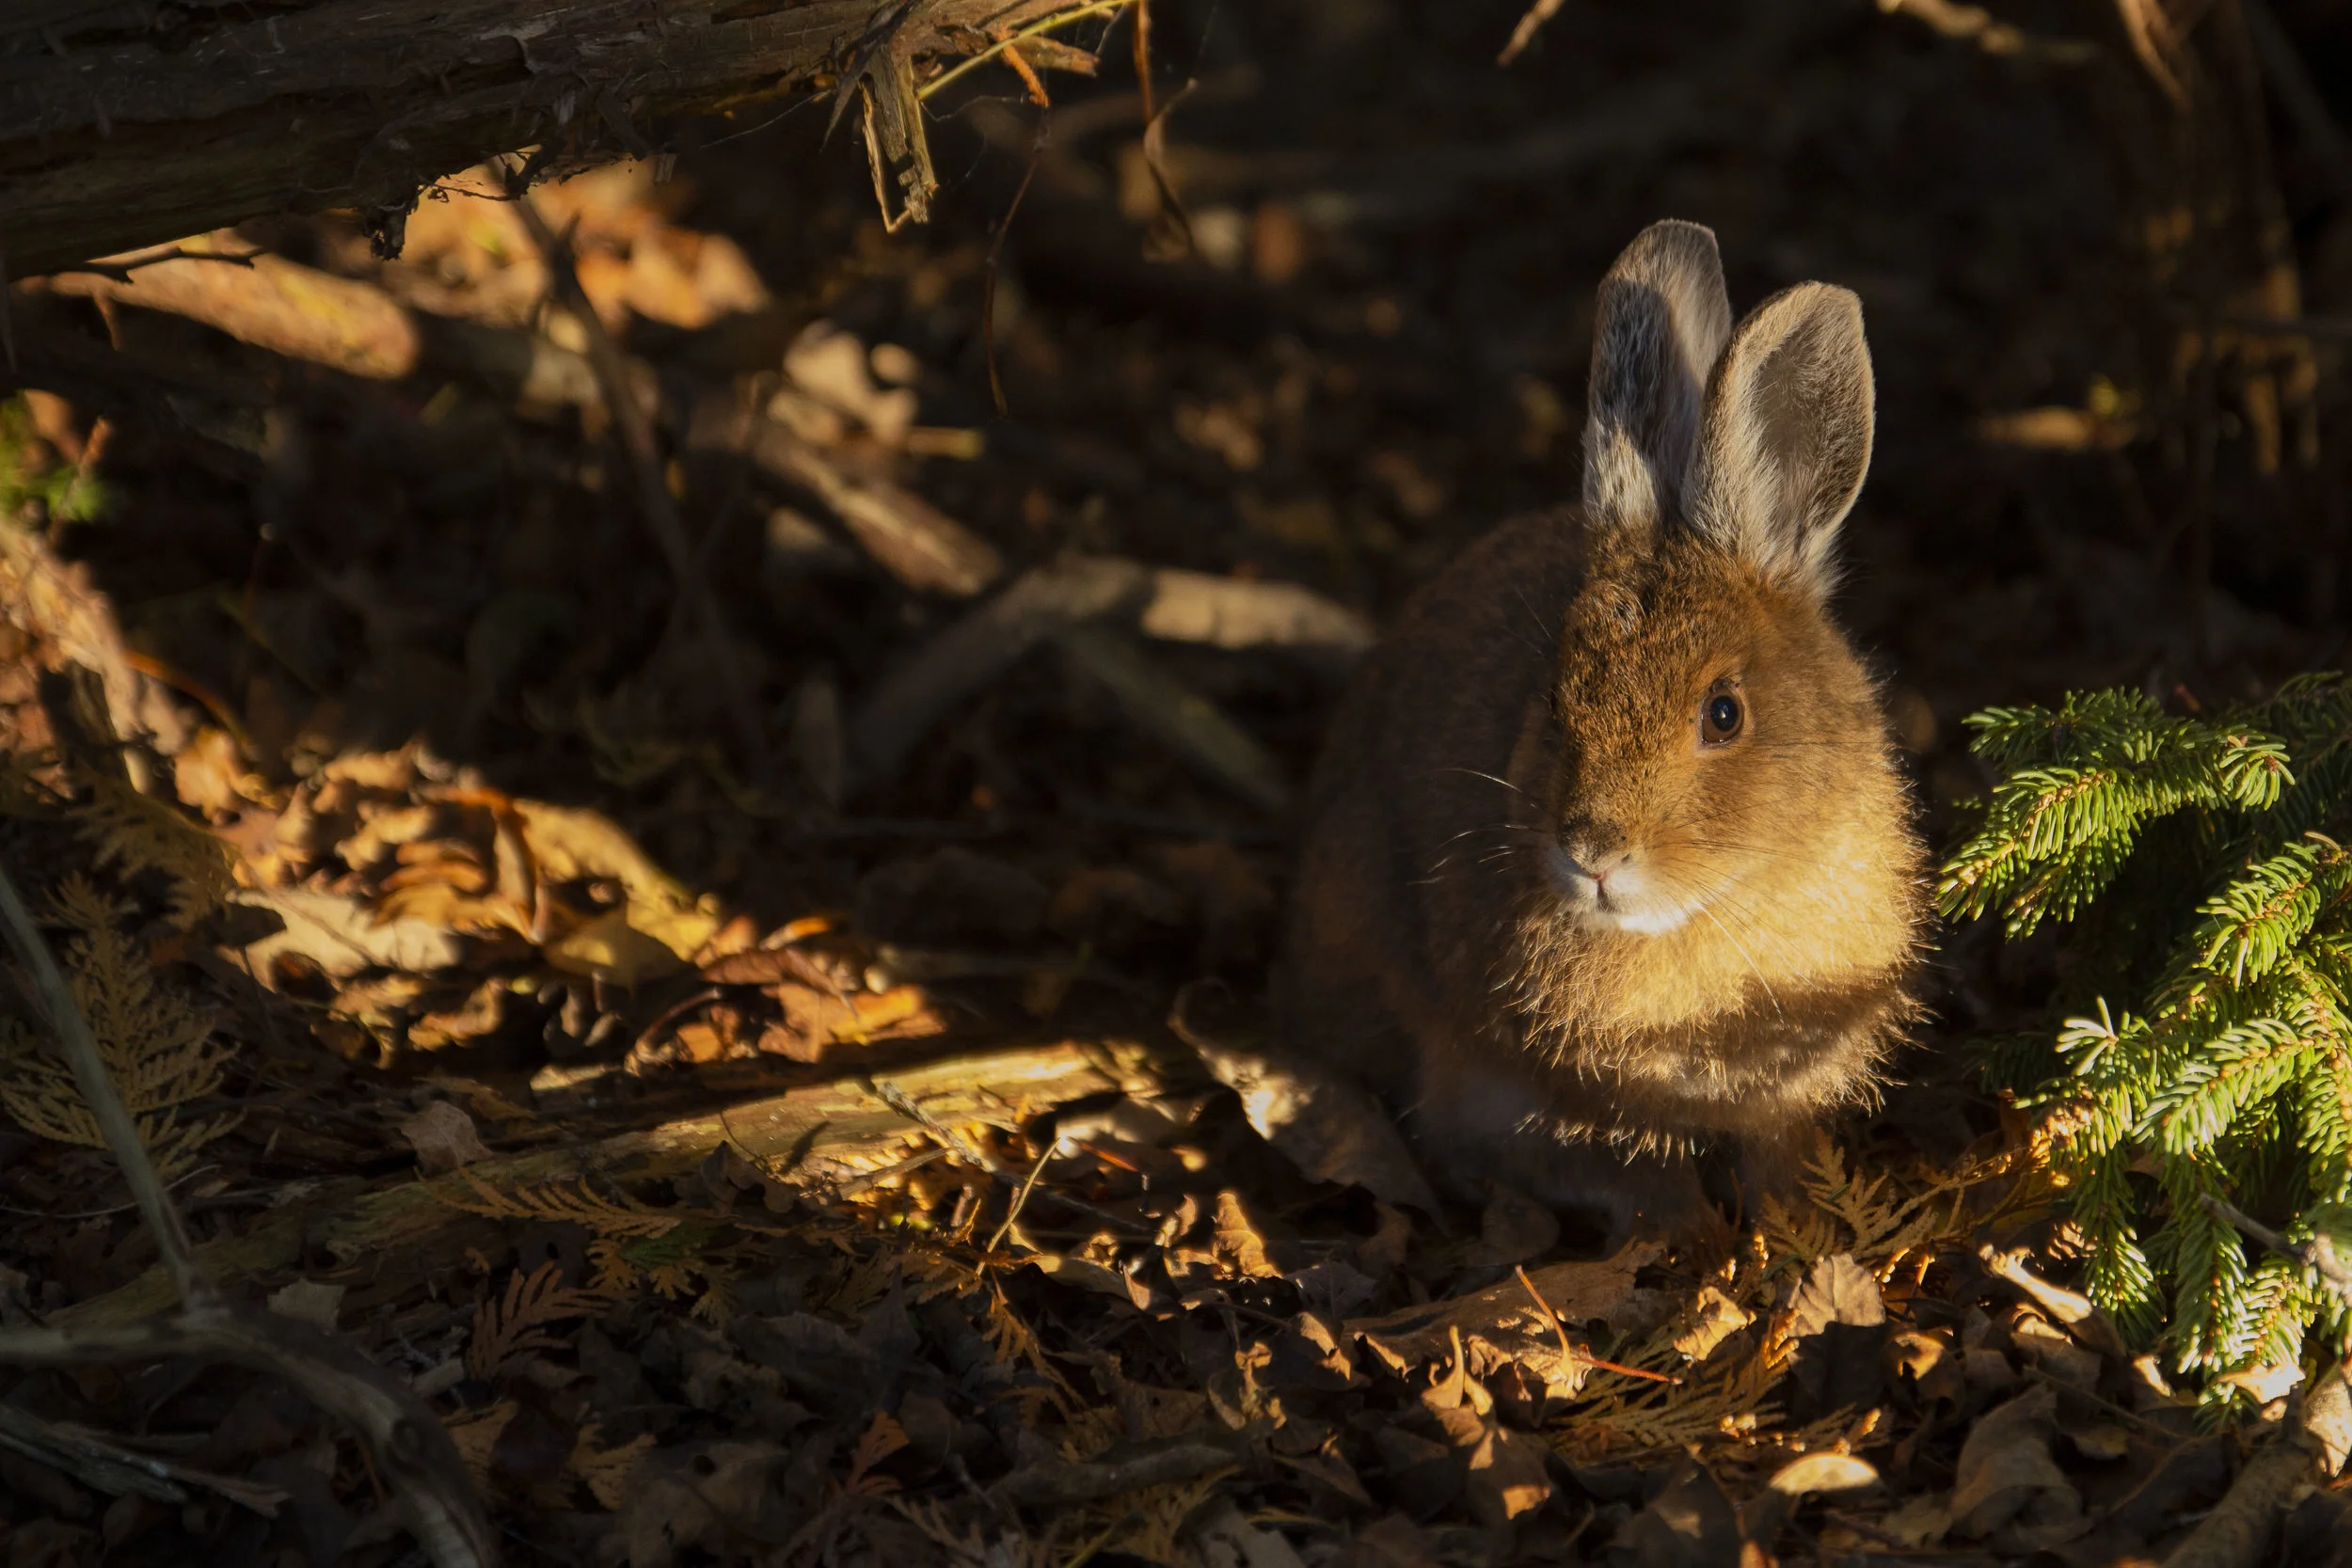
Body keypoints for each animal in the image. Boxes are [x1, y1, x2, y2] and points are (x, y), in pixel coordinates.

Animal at [1279, 220, 1929, 1240]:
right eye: (1553, 700)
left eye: (1723, 713)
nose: (1593, 852)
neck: (1724, 900)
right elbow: (1625, 1168)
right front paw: (1701, 1240)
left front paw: (1791, 1231)